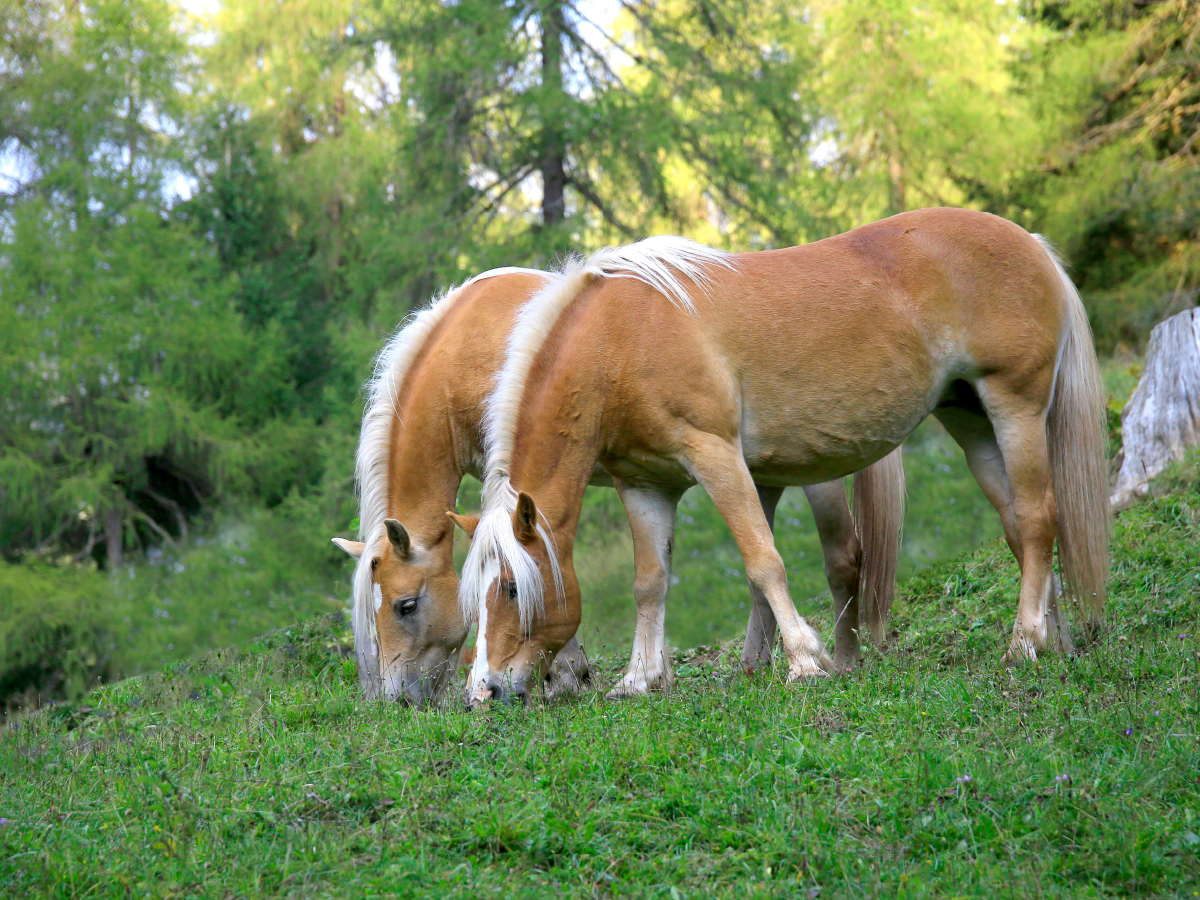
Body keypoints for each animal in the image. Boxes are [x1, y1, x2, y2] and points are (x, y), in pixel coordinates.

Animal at [458, 207, 1104, 700]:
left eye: (510, 588)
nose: (486, 690)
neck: (619, 339)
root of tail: (1030, 242)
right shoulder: (644, 485)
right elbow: (650, 581)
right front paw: (640, 680)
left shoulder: (717, 458)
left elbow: (763, 560)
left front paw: (804, 661)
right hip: (973, 424)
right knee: (1020, 527)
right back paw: (1054, 638)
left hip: (1015, 409)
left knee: (1038, 518)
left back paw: (1024, 642)